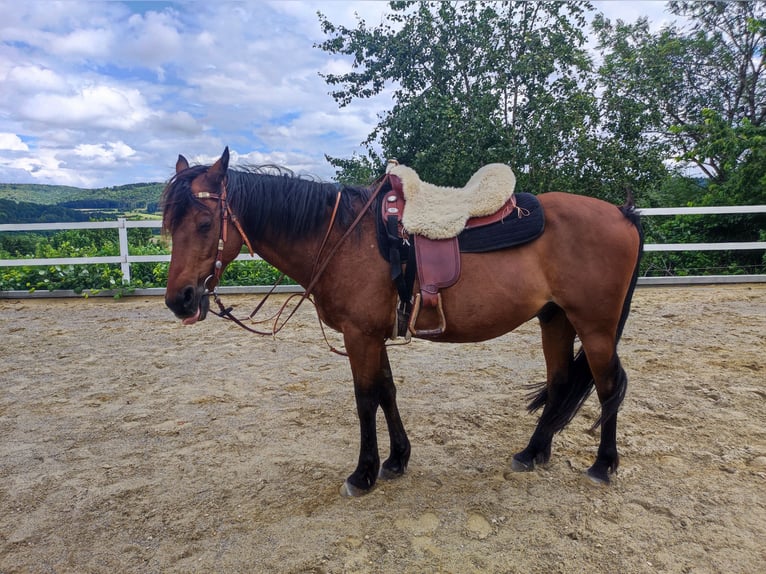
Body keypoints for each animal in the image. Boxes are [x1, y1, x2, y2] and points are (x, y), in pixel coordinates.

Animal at [164, 148, 648, 500]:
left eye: (205, 222)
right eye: (169, 225)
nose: (179, 300)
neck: (340, 236)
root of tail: (622, 213)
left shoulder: (359, 336)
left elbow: (365, 399)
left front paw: (363, 474)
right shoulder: (373, 335)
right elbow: (387, 391)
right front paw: (396, 460)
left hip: (595, 327)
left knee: (607, 385)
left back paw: (603, 464)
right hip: (556, 319)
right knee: (562, 381)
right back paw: (533, 452)